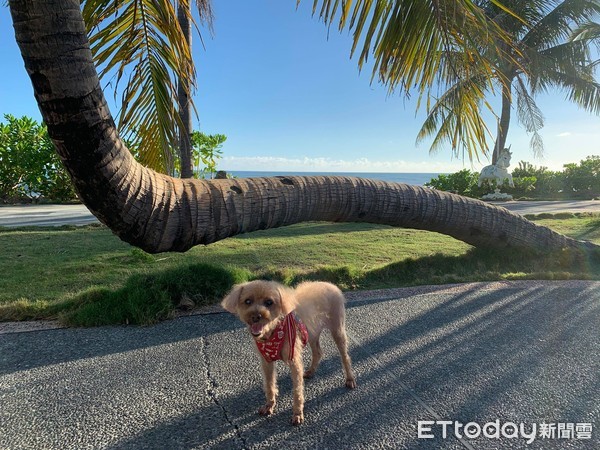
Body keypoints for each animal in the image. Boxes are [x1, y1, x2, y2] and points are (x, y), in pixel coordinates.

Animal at [224, 282, 356, 426]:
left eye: (269, 302)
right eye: (248, 301)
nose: (256, 316)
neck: (273, 332)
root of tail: (331, 284)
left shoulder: (294, 362)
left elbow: (297, 390)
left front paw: (297, 414)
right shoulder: (266, 362)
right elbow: (269, 385)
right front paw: (269, 406)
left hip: (337, 329)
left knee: (345, 356)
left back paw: (350, 379)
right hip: (312, 332)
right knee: (318, 352)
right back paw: (311, 371)